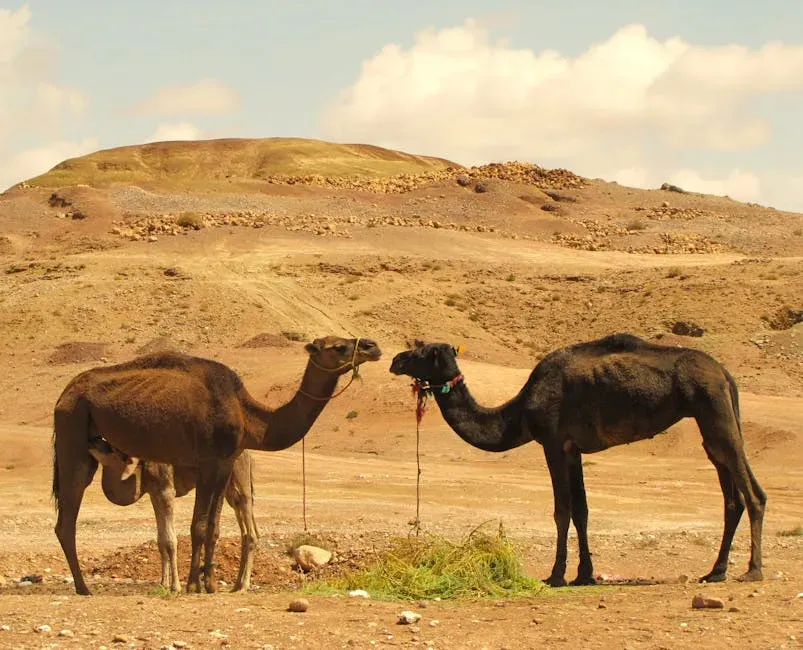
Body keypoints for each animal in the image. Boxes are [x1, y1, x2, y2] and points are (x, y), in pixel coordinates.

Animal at [88, 439, 258, 592]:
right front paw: (163, 584)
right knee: (246, 527)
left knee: (250, 528)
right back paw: (236, 585)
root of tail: (248, 454)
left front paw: (175, 586)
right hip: (230, 489)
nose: (93, 441)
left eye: (109, 447)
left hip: (239, 478)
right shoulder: (153, 493)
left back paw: (244, 585)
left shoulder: (166, 490)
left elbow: (171, 541)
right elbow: (161, 540)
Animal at [389, 334, 766, 587]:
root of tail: (724, 373)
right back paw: (715, 571)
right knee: (731, 492)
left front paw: (555, 575)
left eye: (421, 352)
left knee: (753, 493)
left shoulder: (553, 442)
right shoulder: (574, 450)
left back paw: (753, 570)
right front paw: (585, 574)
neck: (519, 412)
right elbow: (582, 511)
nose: (395, 359)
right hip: (713, 416)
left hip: (712, 407)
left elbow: (562, 510)